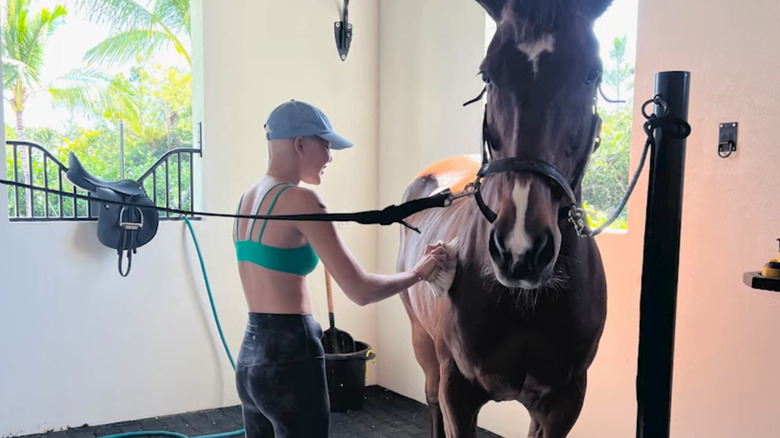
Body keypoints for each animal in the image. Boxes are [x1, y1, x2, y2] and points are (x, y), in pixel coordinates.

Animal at [400, 1, 612, 436]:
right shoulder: (457, 392)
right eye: (488, 74)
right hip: (421, 341)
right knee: (430, 400)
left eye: (592, 72)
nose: (520, 249)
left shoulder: (563, 402)